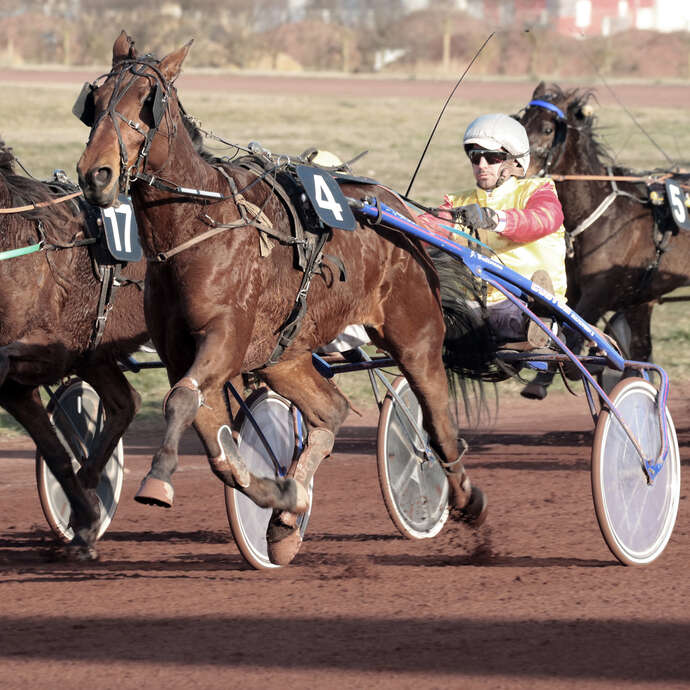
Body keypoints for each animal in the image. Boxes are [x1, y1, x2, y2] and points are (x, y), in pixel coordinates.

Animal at [0, 137, 148, 556]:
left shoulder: (44, 354)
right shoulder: (17, 386)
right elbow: (55, 453)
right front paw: (86, 520)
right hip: (95, 353)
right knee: (125, 403)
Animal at [74, 29, 484, 560]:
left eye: (148, 100)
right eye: (97, 99)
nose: (95, 174)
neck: (198, 226)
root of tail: (397, 212)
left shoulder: (225, 338)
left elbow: (181, 402)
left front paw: (158, 479)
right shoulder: (184, 350)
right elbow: (217, 442)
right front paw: (283, 496)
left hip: (415, 335)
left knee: (437, 419)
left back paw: (463, 495)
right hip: (283, 355)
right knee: (331, 410)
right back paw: (289, 519)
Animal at [516, 82, 688, 398]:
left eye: (547, 129)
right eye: (521, 121)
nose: (519, 167)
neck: (602, 214)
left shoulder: (600, 293)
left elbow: (576, 341)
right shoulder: (633, 298)